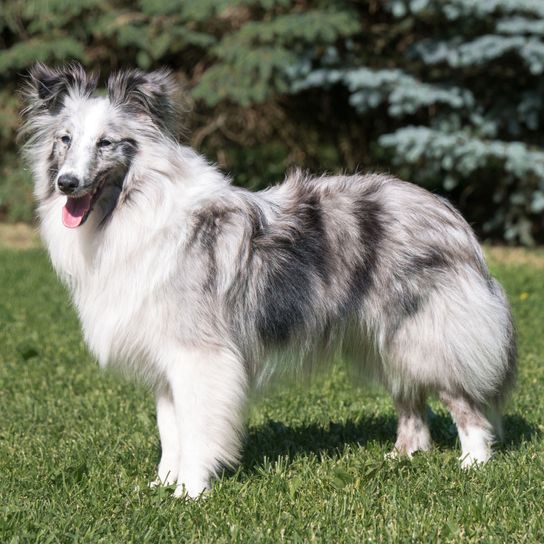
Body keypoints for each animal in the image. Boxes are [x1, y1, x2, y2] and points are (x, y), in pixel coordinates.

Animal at [19, 62, 516, 498]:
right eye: (65, 139)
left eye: (106, 143)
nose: (66, 183)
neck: (129, 211)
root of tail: (451, 216)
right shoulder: (166, 357)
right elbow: (170, 431)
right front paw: (163, 485)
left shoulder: (199, 356)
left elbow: (196, 430)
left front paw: (191, 491)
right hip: (382, 338)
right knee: (411, 402)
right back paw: (403, 457)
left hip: (426, 333)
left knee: (464, 403)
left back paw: (472, 463)